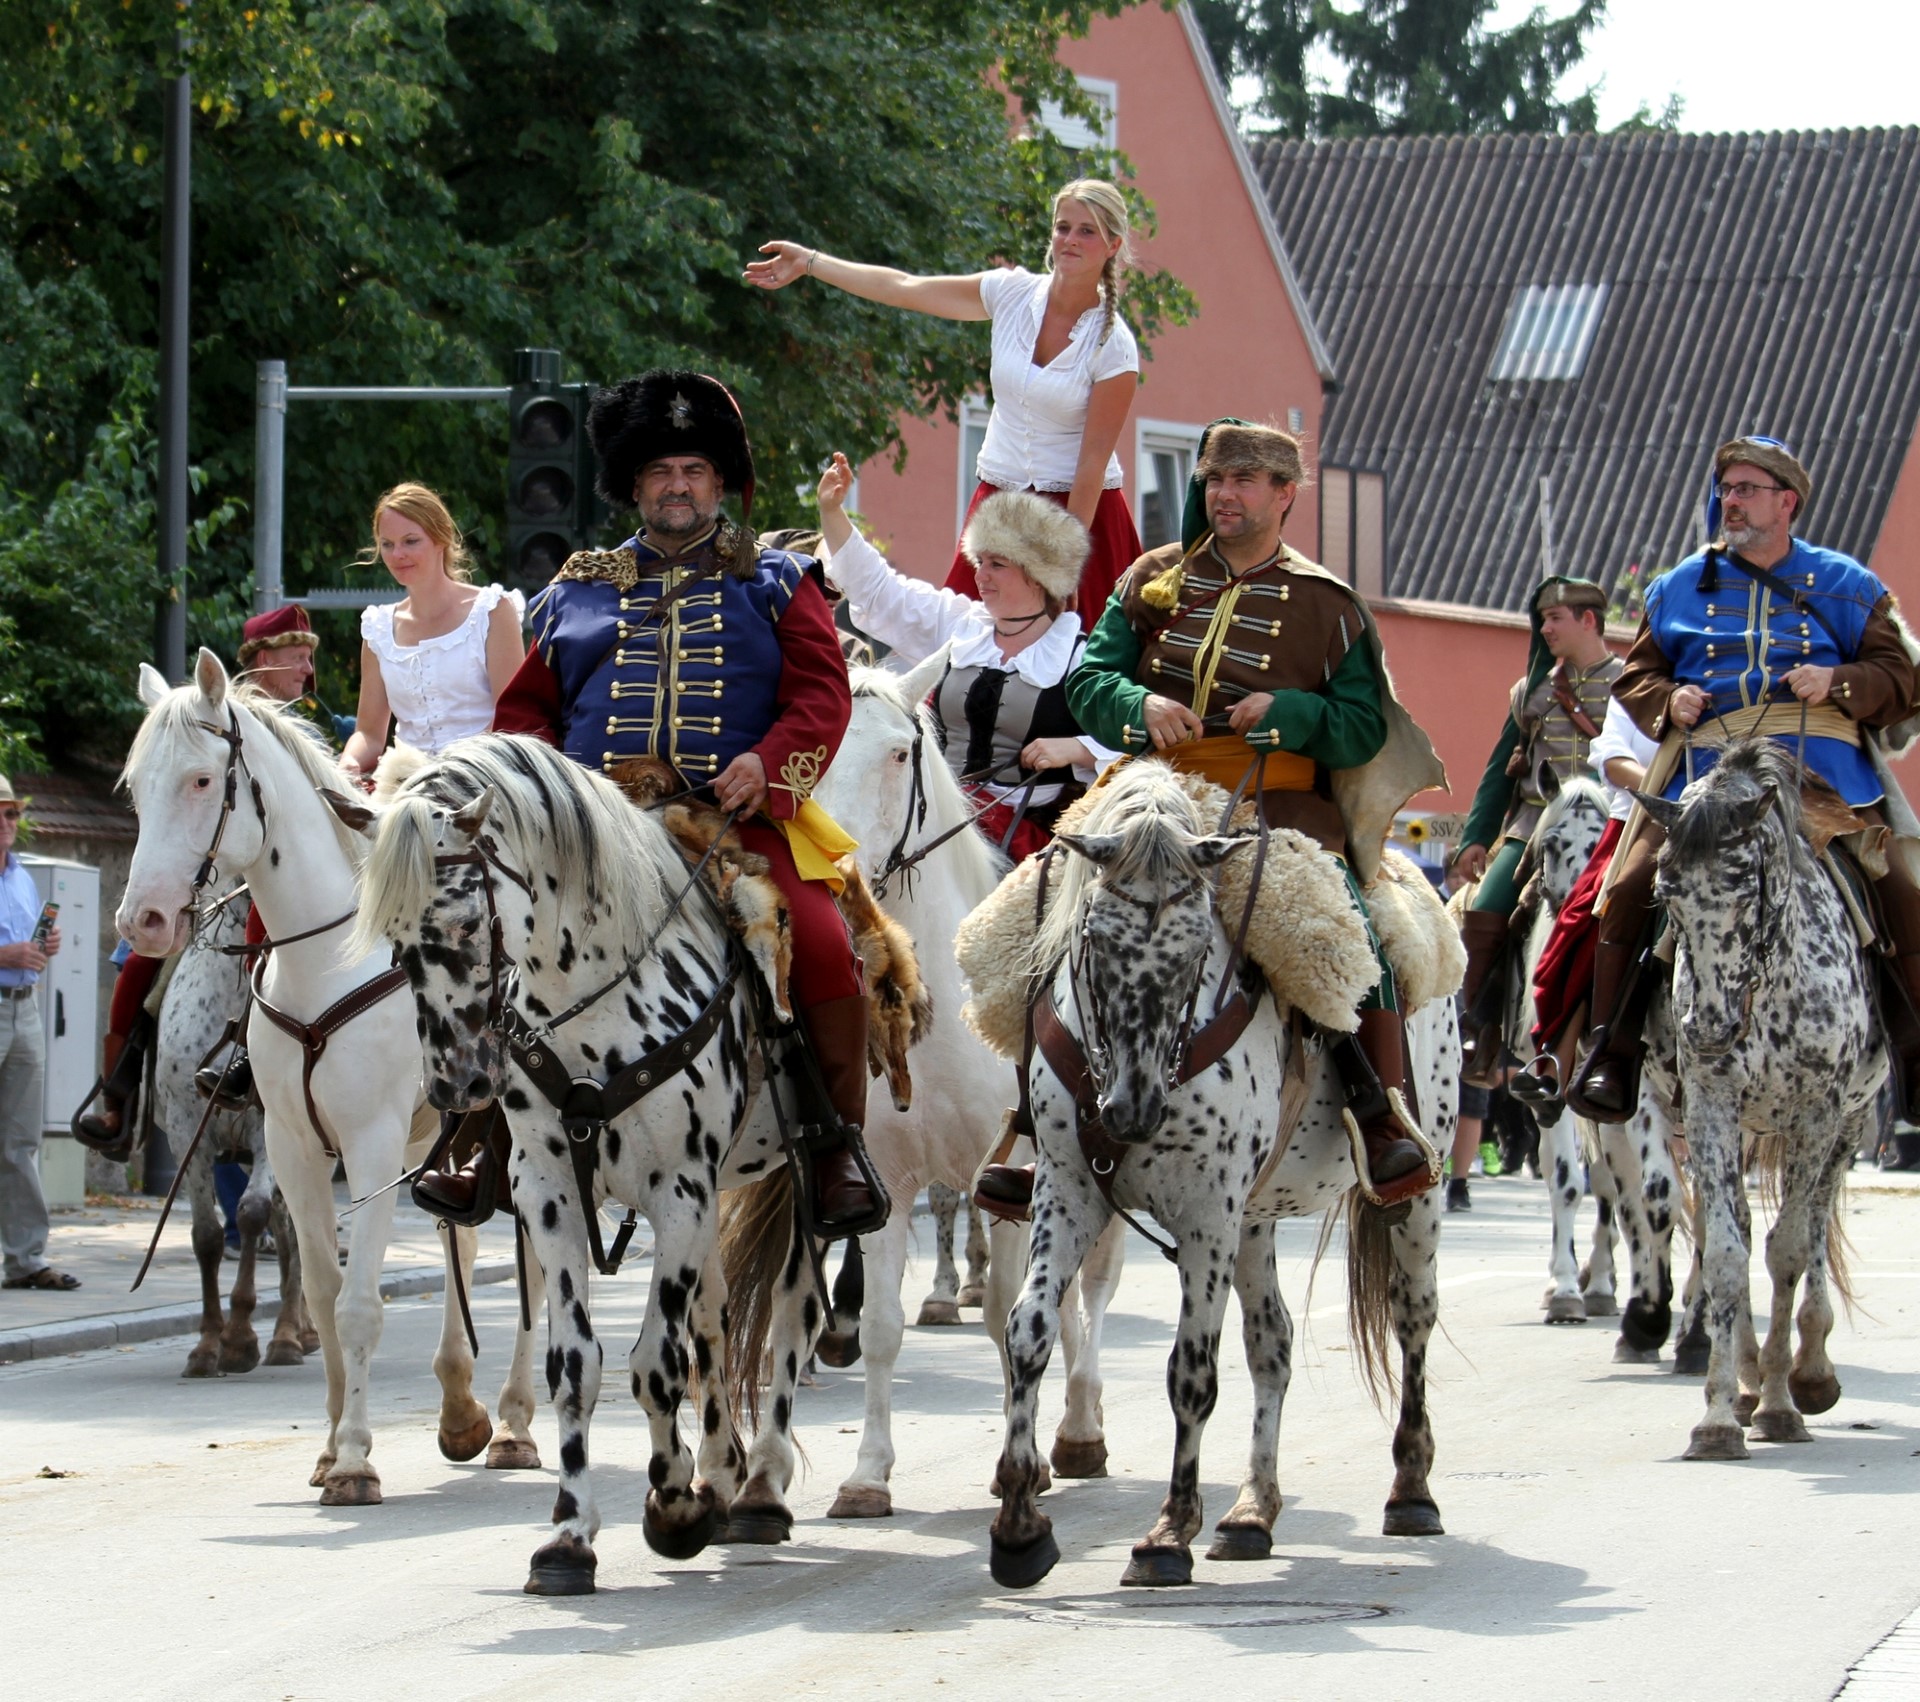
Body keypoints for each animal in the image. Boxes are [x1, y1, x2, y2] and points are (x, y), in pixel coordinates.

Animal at [117, 656, 541, 1506]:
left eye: (202, 780)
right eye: (136, 786)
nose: (142, 920)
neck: (329, 962)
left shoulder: (371, 1148)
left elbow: (358, 1303)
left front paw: (352, 1461)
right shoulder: (292, 1147)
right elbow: (317, 1283)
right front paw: (327, 1443)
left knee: (537, 1264)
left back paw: (513, 1422)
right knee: (462, 1240)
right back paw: (461, 1410)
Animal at [806, 664, 1128, 1521]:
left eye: (896, 753)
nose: (840, 872)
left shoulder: (1011, 1181)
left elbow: (1008, 1314)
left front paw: (1025, 1464)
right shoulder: (886, 1183)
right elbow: (883, 1327)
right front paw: (867, 1475)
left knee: (1094, 1290)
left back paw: (1081, 1426)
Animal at [990, 764, 1451, 1590]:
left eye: (1200, 945)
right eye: (1092, 941)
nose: (1132, 1111)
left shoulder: (1206, 1213)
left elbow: (1192, 1372)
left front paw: (1169, 1531)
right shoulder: (1068, 1191)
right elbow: (1030, 1328)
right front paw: (1018, 1525)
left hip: (1419, 1193)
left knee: (1412, 1318)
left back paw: (1411, 1489)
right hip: (1256, 1220)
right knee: (1272, 1342)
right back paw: (1251, 1512)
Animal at [1635, 741, 1873, 1467]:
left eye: (1746, 888)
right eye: (1666, 895)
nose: (1709, 1027)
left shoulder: (1821, 1111)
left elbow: (1789, 1248)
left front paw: (1780, 1404)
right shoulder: (1711, 1105)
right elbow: (1725, 1254)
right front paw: (1718, 1414)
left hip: (1849, 1122)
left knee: (1815, 1220)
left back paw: (1808, 1372)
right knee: (1736, 1223)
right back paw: (1742, 1380)